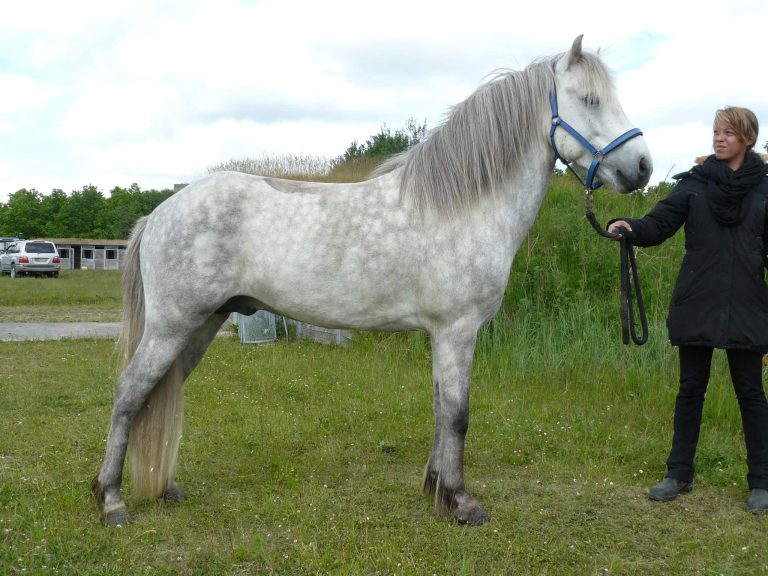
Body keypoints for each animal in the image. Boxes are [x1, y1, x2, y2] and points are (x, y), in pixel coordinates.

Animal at [93, 35, 652, 528]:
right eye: (590, 99)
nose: (642, 168)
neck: (463, 208)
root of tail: (160, 213)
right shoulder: (458, 331)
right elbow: (458, 414)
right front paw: (461, 502)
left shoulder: (442, 335)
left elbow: (439, 408)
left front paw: (435, 490)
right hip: (172, 326)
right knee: (128, 395)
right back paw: (112, 501)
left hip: (202, 325)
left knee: (159, 392)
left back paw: (164, 488)